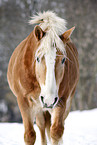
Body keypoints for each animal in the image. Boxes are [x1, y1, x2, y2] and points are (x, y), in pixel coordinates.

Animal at [7, 10, 79, 144]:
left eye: (63, 60)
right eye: (38, 58)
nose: (48, 99)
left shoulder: (61, 100)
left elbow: (56, 132)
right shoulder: (24, 101)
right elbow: (29, 135)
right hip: (38, 107)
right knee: (41, 126)